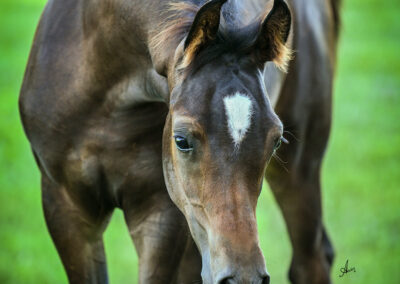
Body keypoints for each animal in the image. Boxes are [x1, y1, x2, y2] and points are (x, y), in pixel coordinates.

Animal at [18, 0, 338, 282]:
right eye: (181, 140)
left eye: (276, 141)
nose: (244, 277)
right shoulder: (66, 205)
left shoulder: (160, 213)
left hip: (301, 170)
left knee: (311, 260)